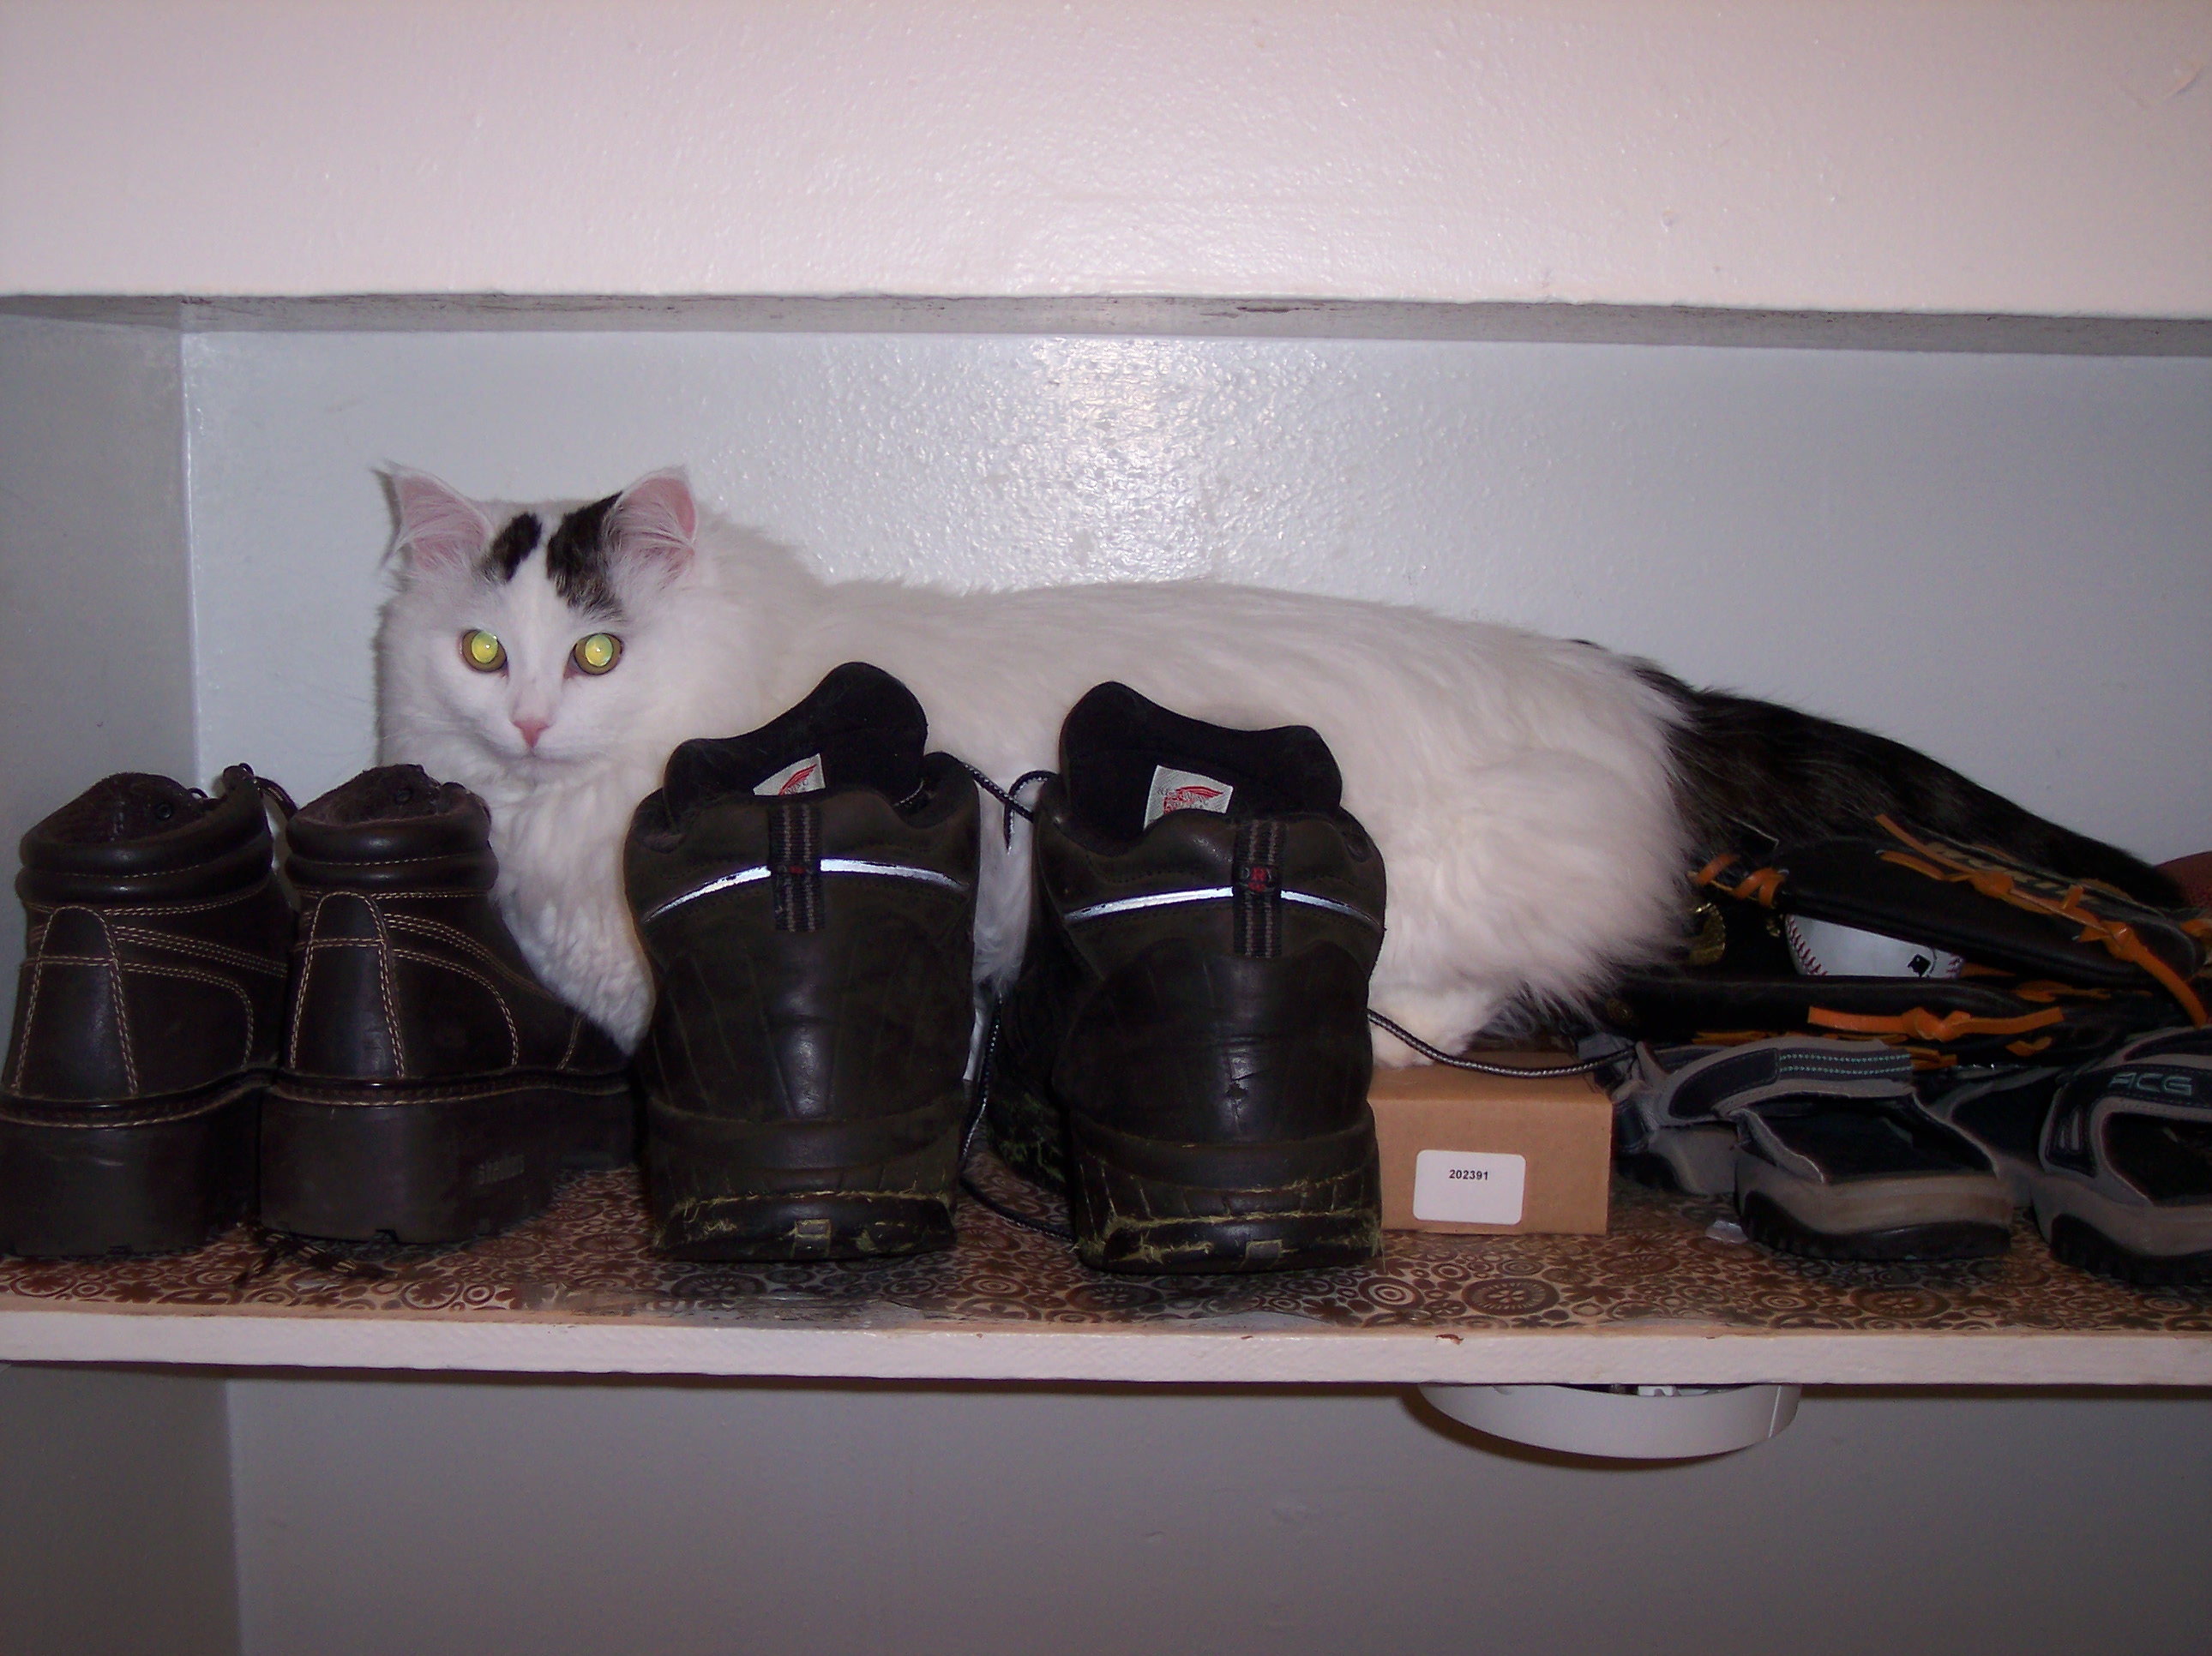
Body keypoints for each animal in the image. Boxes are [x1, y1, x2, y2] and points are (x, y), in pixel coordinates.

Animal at [376, 469, 2180, 1058]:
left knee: (1474, 980)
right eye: (483, 653)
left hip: (1459, 871)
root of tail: (1630, 685)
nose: (524, 722)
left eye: (596, 654)